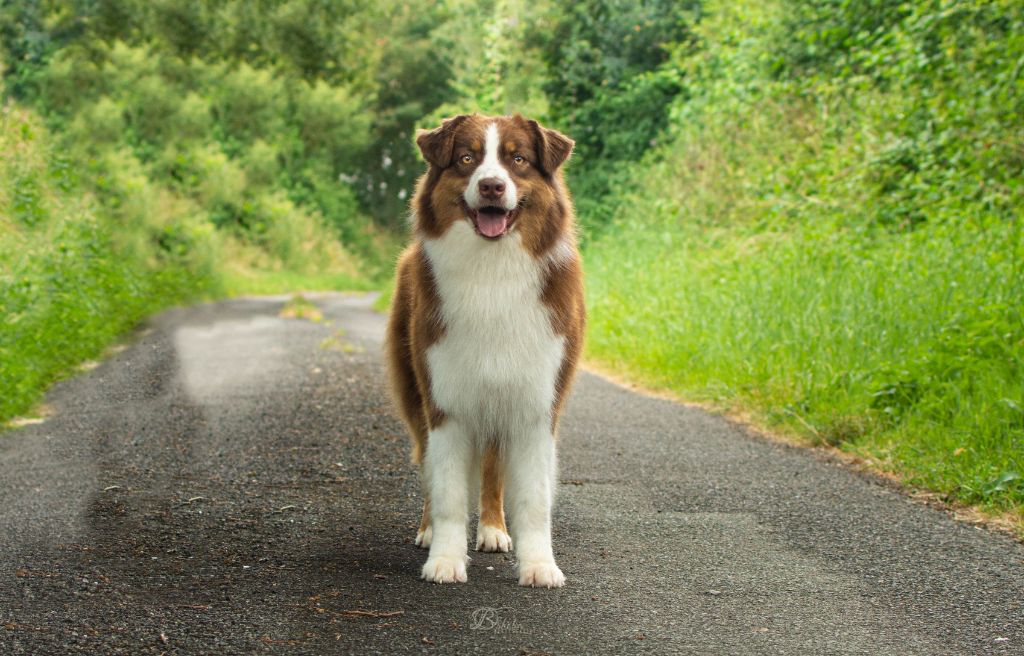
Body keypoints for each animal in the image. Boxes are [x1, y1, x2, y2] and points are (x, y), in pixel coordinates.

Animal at [385, 113, 585, 589]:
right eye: (466, 158)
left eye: (518, 159)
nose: (492, 186)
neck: (492, 271)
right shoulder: (445, 400)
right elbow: (448, 492)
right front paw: (444, 559)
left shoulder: (536, 403)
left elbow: (534, 499)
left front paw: (539, 565)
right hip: (415, 393)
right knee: (427, 465)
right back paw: (428, 532)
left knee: (493, 472)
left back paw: (494, 529)